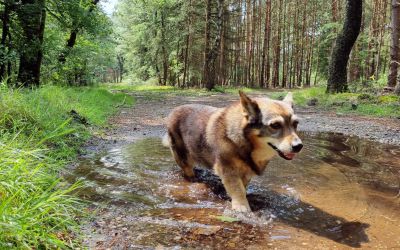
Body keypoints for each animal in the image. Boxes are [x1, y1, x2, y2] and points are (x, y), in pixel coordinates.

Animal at [164, 91, 302, 212]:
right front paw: (241, 206)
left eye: (296, 123)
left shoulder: (246, 173)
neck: (246, 143)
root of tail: (174, 110)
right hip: (182, 157)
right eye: (275, 125)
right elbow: (237, 189)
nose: (299, 146)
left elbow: (242, 187)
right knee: (187, 170)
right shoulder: (228, 169)